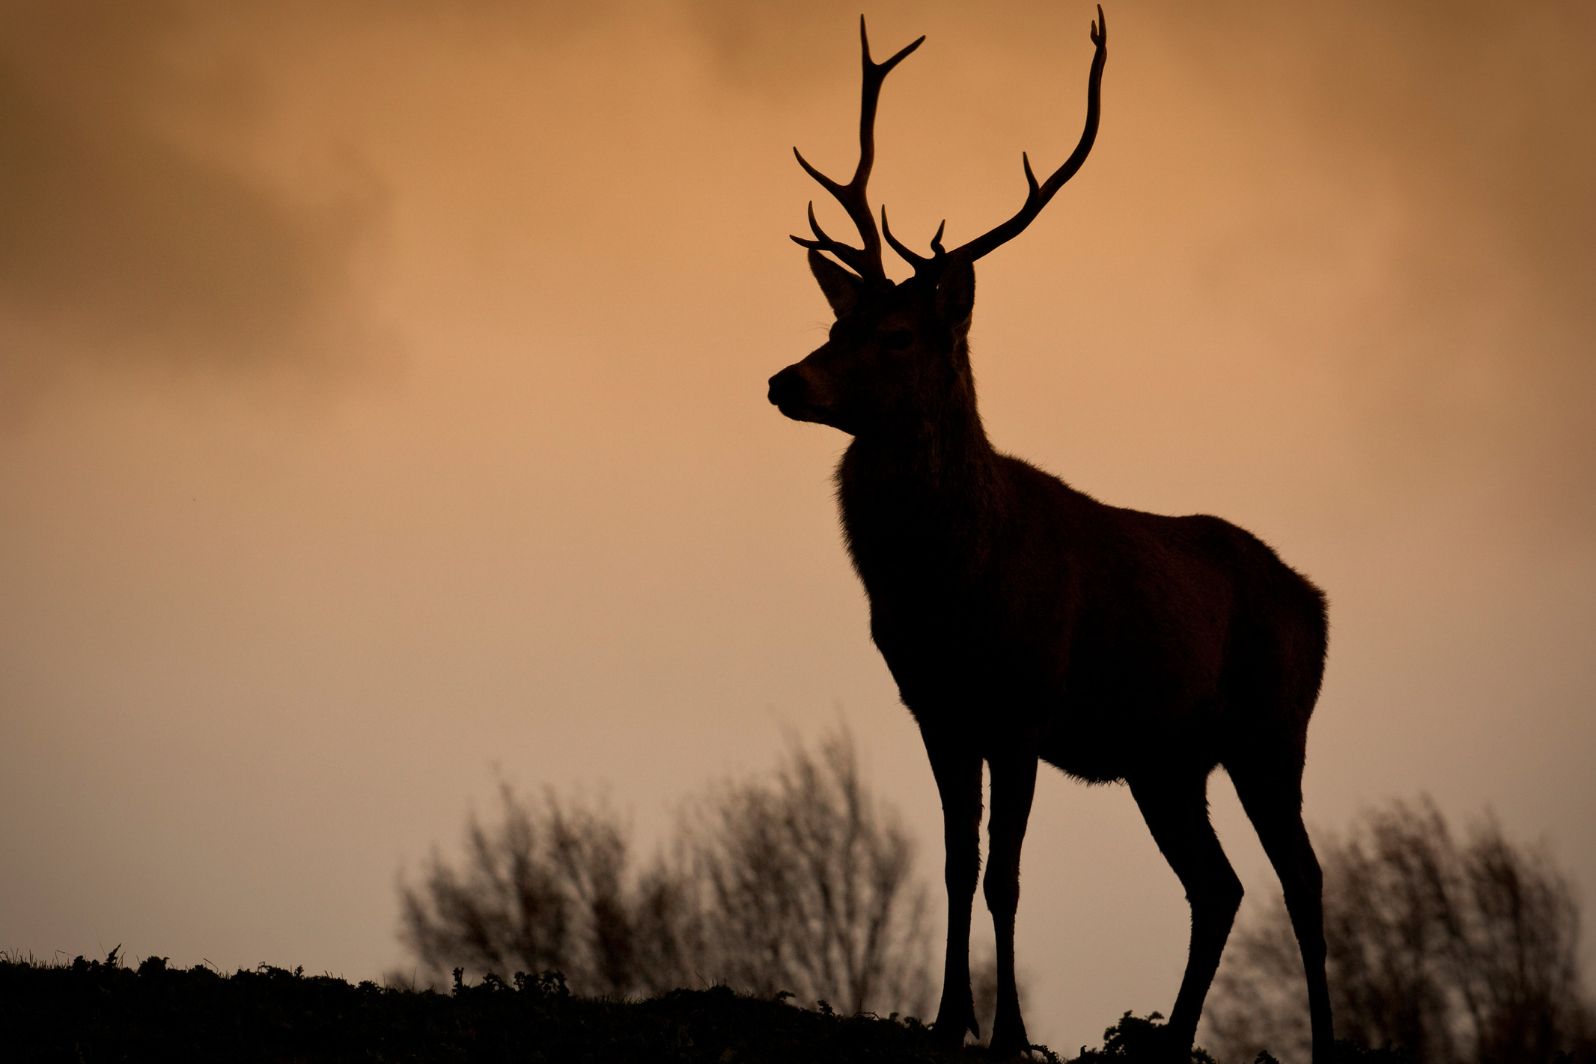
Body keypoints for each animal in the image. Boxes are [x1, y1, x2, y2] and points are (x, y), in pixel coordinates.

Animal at [766, 7, 1334, 1061]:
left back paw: (1320, 1042)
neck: (951, 588)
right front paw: (950, 1022)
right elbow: (957, 865)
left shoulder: (1025, 703)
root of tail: (1315, 600)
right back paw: (1166, 1040)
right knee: (1219, 886)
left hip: (1273, 726)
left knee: (1302, 879)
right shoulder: (937, 708)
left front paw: (1008, 1035)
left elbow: (1006, 875)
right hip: (1165, 759)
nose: (786, 379)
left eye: (898, 336)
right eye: (834, 323)